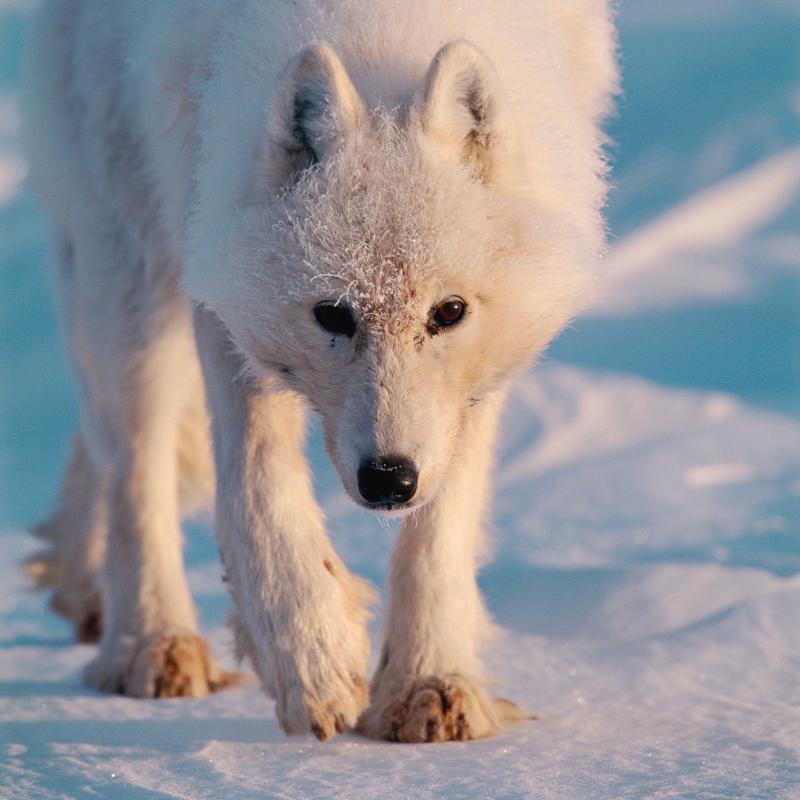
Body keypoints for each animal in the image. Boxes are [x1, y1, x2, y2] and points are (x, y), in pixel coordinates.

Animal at [21, 0, 617, 742]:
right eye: (333, 315)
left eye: (448, 313)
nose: (388, 480)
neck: (383, 25)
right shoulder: (220, 268)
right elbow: (256, 484)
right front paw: (313, 658)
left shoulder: (466, 392)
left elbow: (443, 524)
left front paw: (430, 682)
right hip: (134, 267)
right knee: (134, 464)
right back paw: (151, 645)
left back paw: (81, 584)